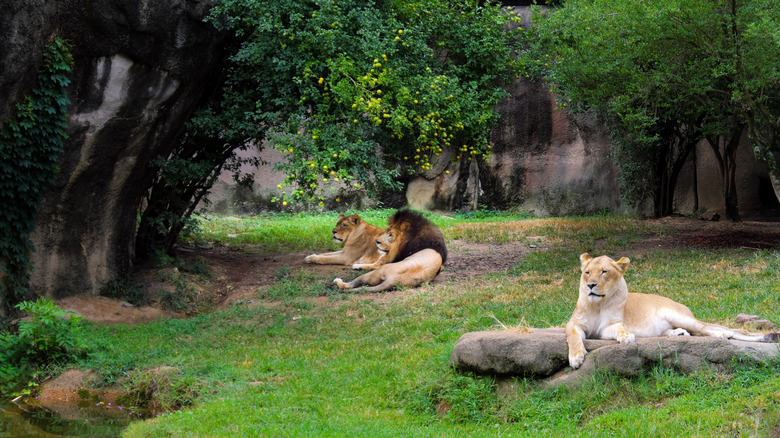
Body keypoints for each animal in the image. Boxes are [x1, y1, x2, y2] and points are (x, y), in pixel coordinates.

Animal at [565, 253, 779, 369]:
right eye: (587, 273)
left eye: (604, 271)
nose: (591, 285)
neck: (598, 305)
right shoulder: (575, 324)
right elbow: (574, 337)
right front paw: (576, 357)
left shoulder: (610, 325)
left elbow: (619, 328)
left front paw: (626, 337)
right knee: (686, 332)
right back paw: (678, 333)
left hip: (677, 315)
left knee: (705, 329)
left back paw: (722, 335)